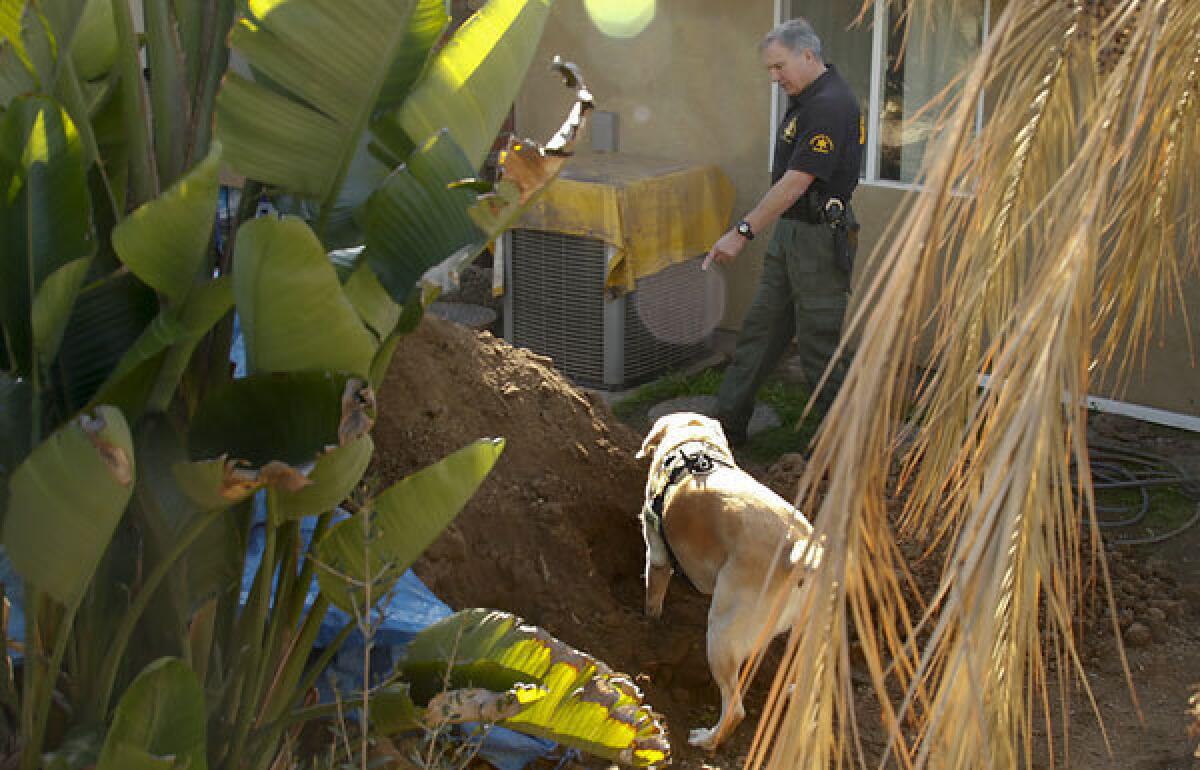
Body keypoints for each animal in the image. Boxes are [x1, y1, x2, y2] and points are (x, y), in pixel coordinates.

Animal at [633, 410, 820, 748]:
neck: (692, 445)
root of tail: (797, 550)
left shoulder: (657, 555)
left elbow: (652, 601)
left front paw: (648, 625)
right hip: (793, 630)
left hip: (721, 631)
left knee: (734, 710)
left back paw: (706, 740)